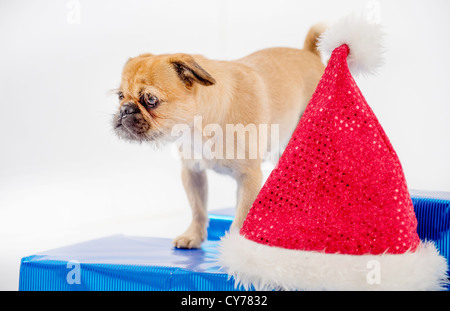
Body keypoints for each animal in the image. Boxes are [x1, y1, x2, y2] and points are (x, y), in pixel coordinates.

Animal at [111, 24, 324, 250]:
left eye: (151, 100)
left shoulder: (249, 177)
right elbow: (198, 209)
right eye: (120, 96)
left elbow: (241, 216)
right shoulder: (192, 173)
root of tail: (309, 53)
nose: (124, 110)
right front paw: (194, 235)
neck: (197, 128)